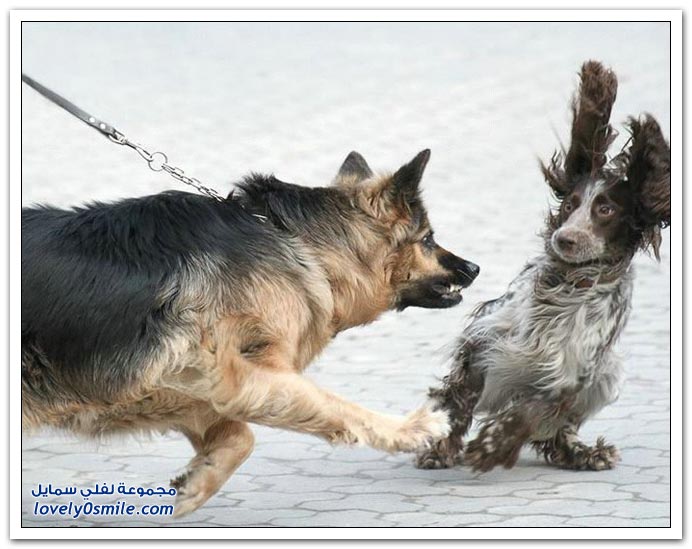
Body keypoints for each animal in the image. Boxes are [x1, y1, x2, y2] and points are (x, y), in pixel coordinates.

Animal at [22, 149, 480, 515]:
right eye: (429, 239)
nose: (475, 268)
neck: (296, 241)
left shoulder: (193, 386)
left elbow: (239, 437)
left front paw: (198, 481)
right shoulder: (236, 375)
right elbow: (339, 408)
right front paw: (412, 430)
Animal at [415, 61, 670, 473]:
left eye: (606, 210)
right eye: (569, 204)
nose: (564, 239)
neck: (569, 284)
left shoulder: (575, 371)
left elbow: (536, 409)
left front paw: (493, 445)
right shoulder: (485, 340)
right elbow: (460, 398)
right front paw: (442, 446)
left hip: (608, 374)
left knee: (558, 429)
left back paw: (582, 452)